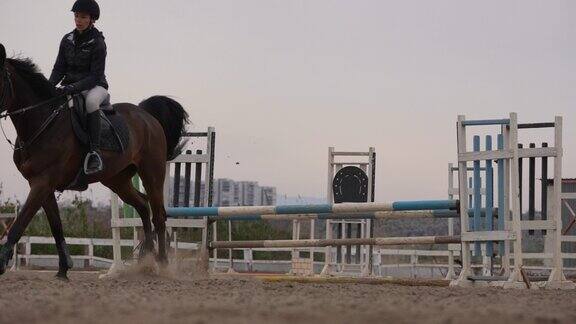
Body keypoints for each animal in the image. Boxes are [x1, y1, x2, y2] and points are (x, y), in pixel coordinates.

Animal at [0, 43, 188, 280]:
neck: (43, 122)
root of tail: (146, 115)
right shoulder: (42, 185)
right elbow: (56, 226)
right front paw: (63, 269)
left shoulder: (42, 183)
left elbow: (20, 224)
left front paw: (2, 262)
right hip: (117, 180)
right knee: (143, 207)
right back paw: (145, 260)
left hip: (151, 173)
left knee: (159, 215)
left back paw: (162, 263)